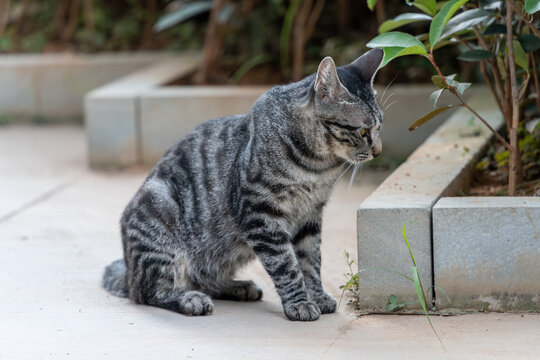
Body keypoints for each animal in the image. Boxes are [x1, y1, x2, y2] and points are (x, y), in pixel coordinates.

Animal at [103, 47, 384, 320]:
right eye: (363, 131)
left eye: (380, 126)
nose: (378, 152)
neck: (318, 166)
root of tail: (129, 271)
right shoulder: (261, 211)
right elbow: (285, 263)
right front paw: (300, 302)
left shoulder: (310, 216)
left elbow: (310, 261)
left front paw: (317, 295)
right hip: (159, 219)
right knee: (150, 291)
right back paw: (190, 299)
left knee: (202, 278)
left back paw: (237, 286)